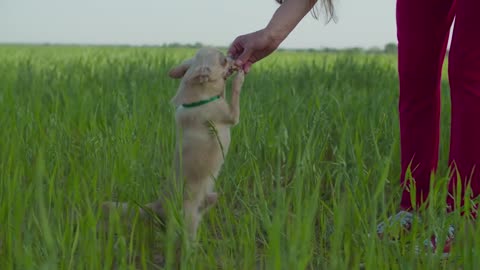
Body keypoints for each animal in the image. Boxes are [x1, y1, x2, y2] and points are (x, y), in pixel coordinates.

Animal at [101, 47, 244, 244]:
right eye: (223, 60)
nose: (232, 57)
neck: (197, 98)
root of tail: (157, 204)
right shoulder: (231, 116)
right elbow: (235, 94)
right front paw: (239, 77)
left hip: (212, 198)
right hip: (188, 217)